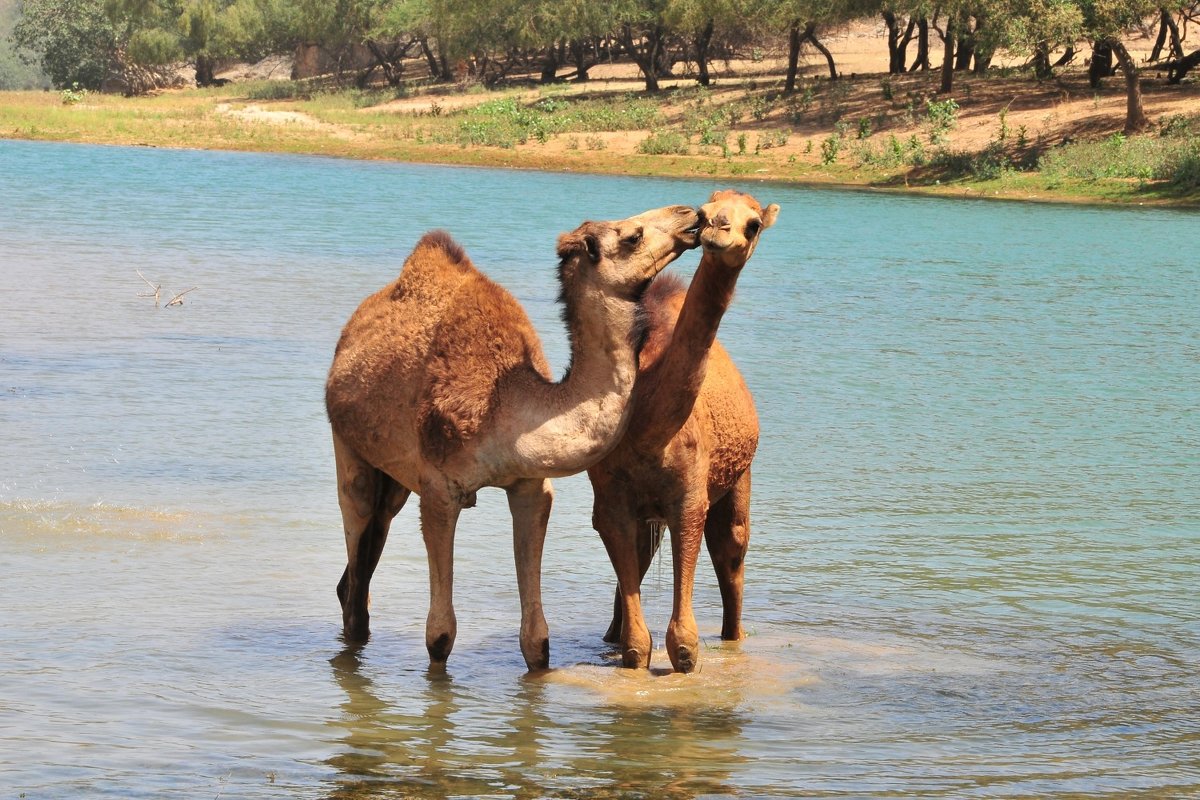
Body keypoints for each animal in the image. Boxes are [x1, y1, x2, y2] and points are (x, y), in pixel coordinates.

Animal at [326, 203, 700, 671]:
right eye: (632, 235)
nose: (691, 215)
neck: (506, 406)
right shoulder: (440, 490)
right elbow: (440, 635)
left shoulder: (530, 485)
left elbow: (537, 642)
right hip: (348, 446)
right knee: (356, 569)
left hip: (393, 478)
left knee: (366, 552)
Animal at [588, 190, 777, 671]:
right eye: (706, 209)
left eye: (754, 224)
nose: (716, 227)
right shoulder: (611, 498)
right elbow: (638, 643)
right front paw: (628, 649)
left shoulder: (691, 495)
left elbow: (685, 647)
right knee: (639, 561)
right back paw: (609, 635)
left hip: (739, 477)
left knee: (732, 547)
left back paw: (733, 637)